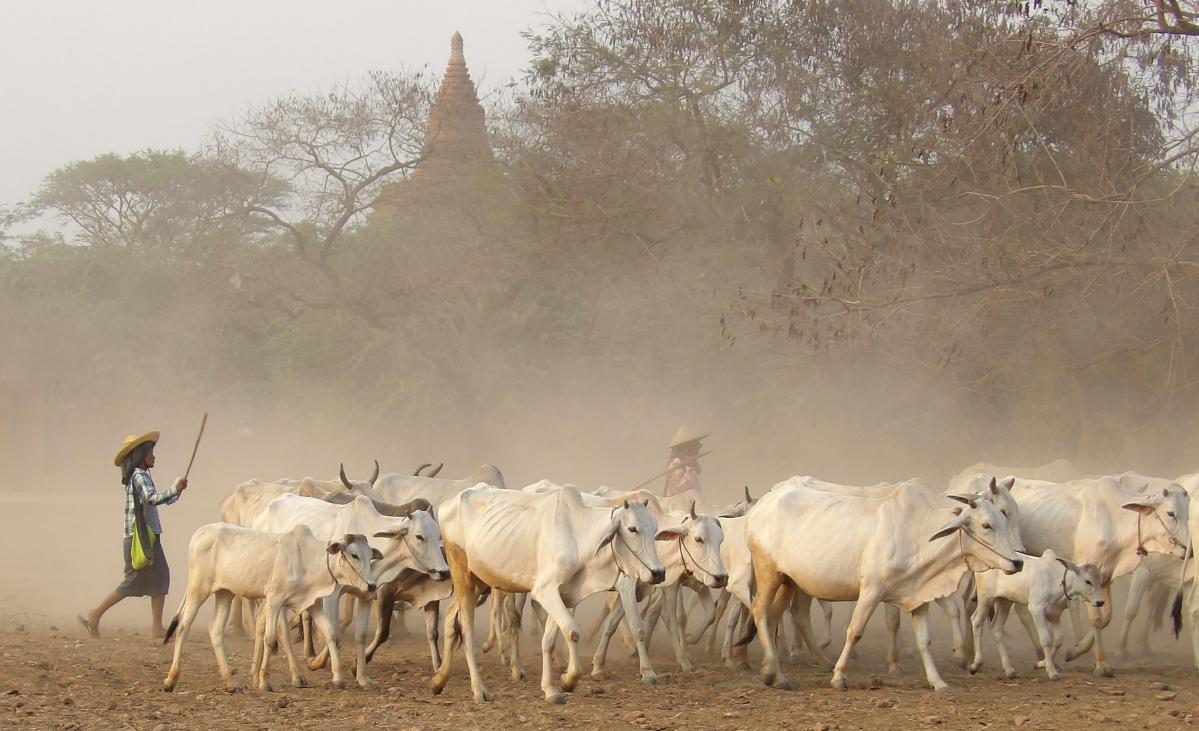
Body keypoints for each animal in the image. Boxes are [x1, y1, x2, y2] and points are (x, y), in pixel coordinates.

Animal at [160, 522, 374, 690]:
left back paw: (230, 682)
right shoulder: (274, 599)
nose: (371, 585)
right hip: (198, 590)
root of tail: (200, 532)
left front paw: (338, 678)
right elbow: (270, 638)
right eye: (354, 555)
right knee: (183, 626)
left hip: (225, 593)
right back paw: (170, 679)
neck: (307, 559)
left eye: (370, 555)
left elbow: (330, 633)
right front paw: (264, 681)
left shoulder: (311, 603)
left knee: (215, 629)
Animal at [252, 491, 450, 685]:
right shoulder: (331, 596)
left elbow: (360, 635)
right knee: (281, 629)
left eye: (438, 536)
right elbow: (334, 633)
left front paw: (362, 677)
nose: (444, 572)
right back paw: (295, 674)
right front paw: (321, 665)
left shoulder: (366, 596)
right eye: (419, 536)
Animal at [436, 484, 671, 699]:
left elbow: (548, 640)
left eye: (654, 528)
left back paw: (439, 679)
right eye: (632, 529)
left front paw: (550, 688)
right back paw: (479, 689)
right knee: (466, 630)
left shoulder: (562, 594)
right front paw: (568, 680)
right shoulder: (545, 591)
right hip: (463, 577)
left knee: (450, 615)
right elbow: (573, 631)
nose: (658, 573)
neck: (577, 536)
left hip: (479, 581)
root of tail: (448, 502)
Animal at [748, 479, 1021, 690]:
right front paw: (839, 677)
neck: (919, 532)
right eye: (986, 525)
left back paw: (773, 672)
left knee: (778, 616)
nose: (1018, 561)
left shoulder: (917, 596)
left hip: (789, 581)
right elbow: (855, 631)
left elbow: (924, 641)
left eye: (1003, 518)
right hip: (768, 572)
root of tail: (763, 503)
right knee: (760, 611)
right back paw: (778, 674)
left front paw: (938, 682)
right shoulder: (871, 590)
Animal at [1002, 474, 1189, 675]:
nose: (1189, 549)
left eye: (1188, 513)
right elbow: (1097, 619)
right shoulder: (1088, 575)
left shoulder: (1105, 579)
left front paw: (1075, 650)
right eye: (1171, 513)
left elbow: (1106, 618)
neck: (1115, 521)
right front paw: (1100, 664)